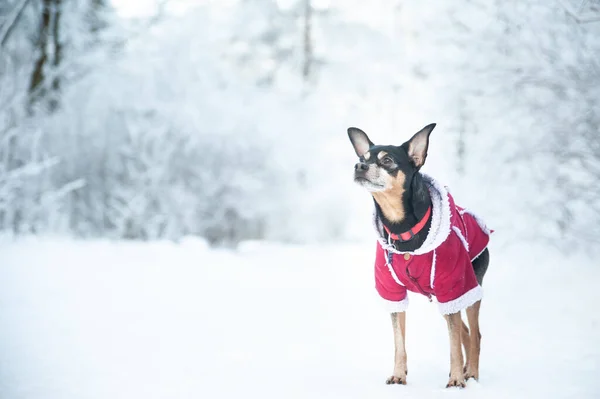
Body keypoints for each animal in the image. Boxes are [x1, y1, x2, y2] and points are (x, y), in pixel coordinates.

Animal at [350, 123, 490, 390]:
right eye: (362, 159)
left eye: (387, 160)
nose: (359, 167)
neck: (403, 229)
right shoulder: (393, 292)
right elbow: (399, 342)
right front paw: (398, 375)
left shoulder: (453, 285)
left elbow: (453, 344)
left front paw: (456, 380)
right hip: (446, 298)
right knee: (465, 333)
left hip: (468, 287)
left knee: (474, 333)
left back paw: (471, 373)